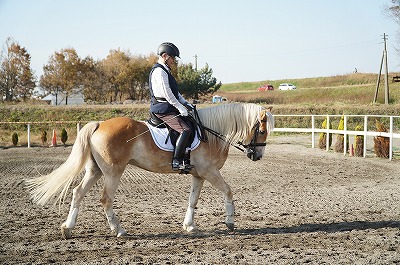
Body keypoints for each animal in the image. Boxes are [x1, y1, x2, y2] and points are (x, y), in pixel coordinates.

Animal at [25, 102, 276, 238]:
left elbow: (192, 200)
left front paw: (189, 226)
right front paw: (230, 222)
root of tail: (100, 124)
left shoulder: (198, 175)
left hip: (95, 171)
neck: (210, 132)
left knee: (78, 193)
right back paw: (119, 230)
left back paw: (67, 229)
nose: (257, 156)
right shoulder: (210, 172)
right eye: (262, 131)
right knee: (106, 199)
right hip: (113, 172)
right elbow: (228, 191)